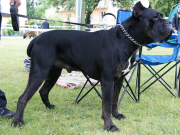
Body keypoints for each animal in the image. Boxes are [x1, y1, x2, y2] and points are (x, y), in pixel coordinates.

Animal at [11, 1, 172, 132]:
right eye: (155, 17)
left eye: (162, 16)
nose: (170, 23)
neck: (125, 40)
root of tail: (37, 38)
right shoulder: (107, 81)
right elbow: (106, 105)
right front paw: (109, 125)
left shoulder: (119, 80)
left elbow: (114, 101)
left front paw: (116, 115)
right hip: (40, 72)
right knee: (23, 97)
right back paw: (17, 122)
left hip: (53, 72)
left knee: (44, 91)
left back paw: (49, 107)